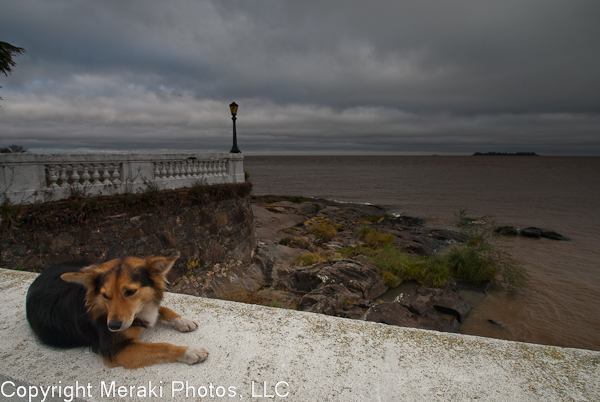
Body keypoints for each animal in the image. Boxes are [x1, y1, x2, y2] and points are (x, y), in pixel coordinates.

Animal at [25, 253, 209, 370]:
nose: (113, 326)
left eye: (130, 292)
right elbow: (161, 346)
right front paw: (190, 352)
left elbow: (162, 309)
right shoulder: (114, 351)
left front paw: (183, 320)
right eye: (105, 295)